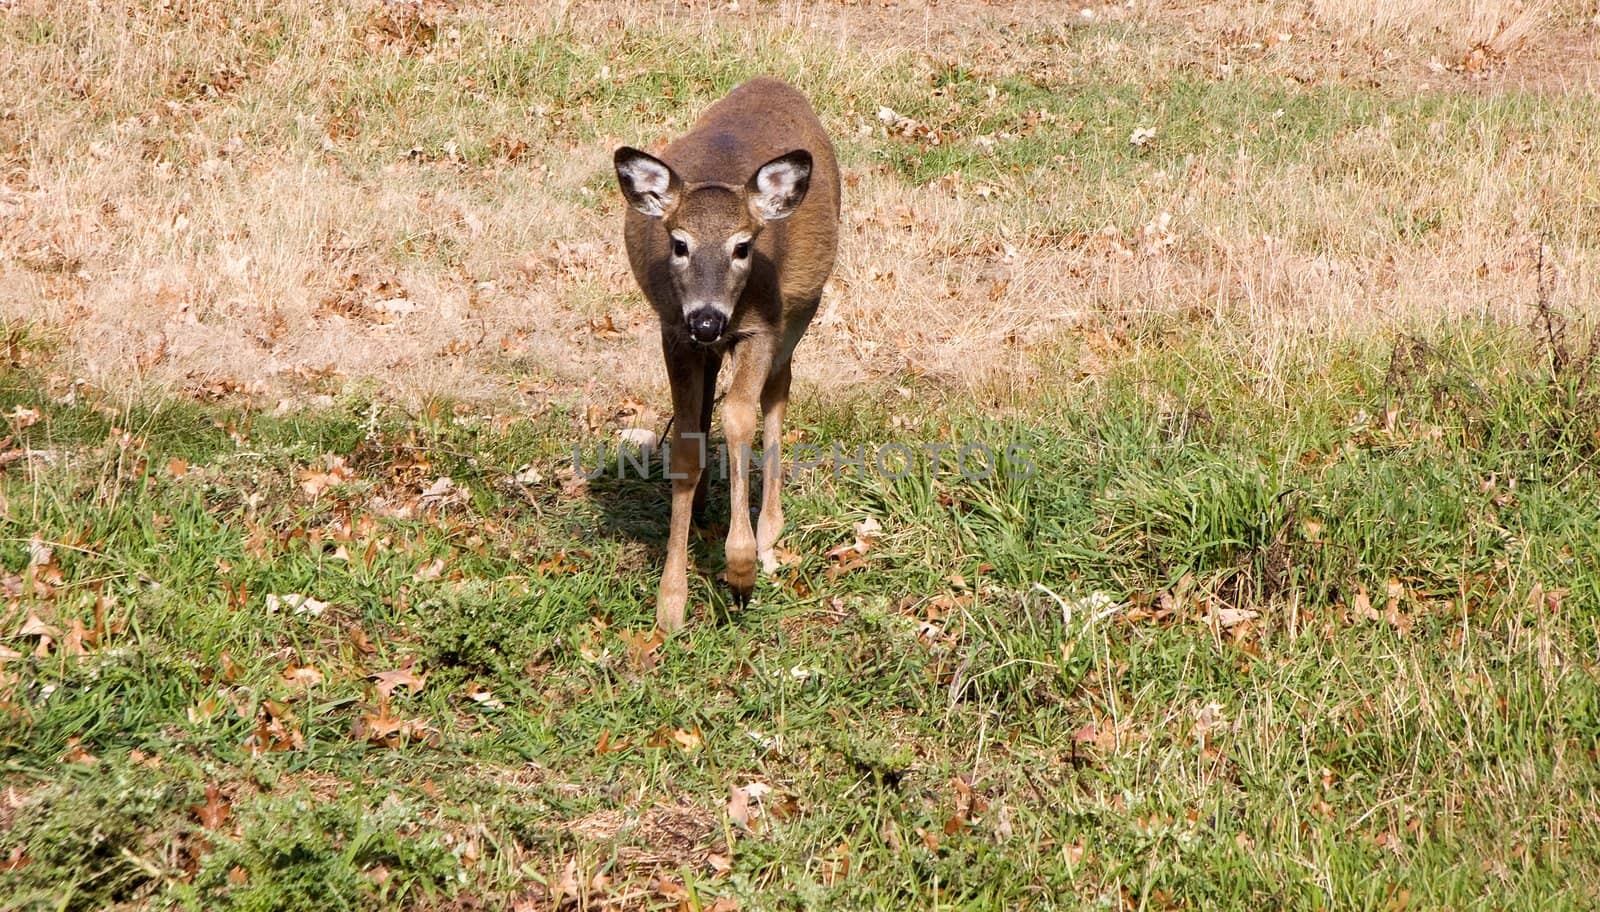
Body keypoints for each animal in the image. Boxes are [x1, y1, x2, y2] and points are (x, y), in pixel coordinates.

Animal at [608, 78, 838, 630]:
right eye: (679, 243)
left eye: (742, 246)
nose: (708, 319)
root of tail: (774, 82)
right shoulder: (673, 331)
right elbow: (687, 443)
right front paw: (671, 601)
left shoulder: (760, 329)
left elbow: (739, 418)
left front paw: (740, 567)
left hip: (802, 308)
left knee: (777, 391)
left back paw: (769, 535)